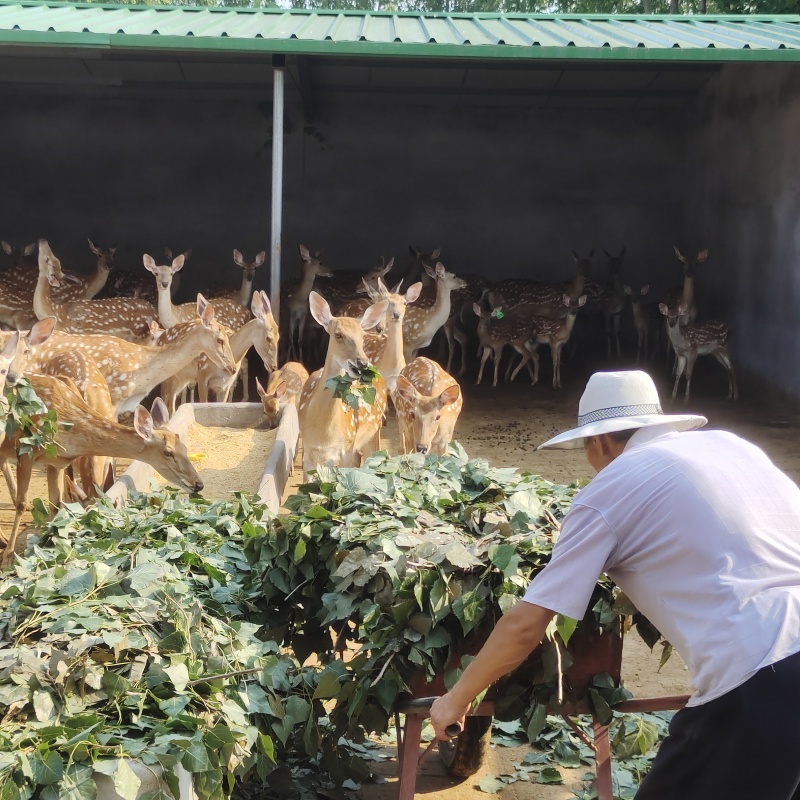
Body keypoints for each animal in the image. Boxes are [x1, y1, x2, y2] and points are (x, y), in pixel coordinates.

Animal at [0, 380, 203, 564]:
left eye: (184, 447)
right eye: (168, 452)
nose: (198, 484)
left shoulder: (56, 462)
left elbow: (56, 504)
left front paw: (50, 544)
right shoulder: (25, 451)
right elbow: (21, 503)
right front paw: (8, 557)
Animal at [298, 292, 388, 476]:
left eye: (363, 336)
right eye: (338, 334)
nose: (362, 363)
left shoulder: (346, 448)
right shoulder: (308, 452)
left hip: (374, 430)